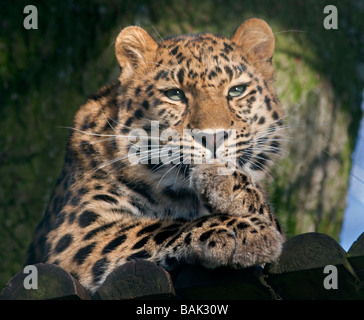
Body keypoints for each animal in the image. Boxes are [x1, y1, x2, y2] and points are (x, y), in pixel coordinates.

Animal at [27, 18, 286, 296]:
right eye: (175, 94)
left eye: (237, 91)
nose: (213, 137)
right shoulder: (79, 231)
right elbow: (159, 226)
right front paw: (241, 229)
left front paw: (230, 186)